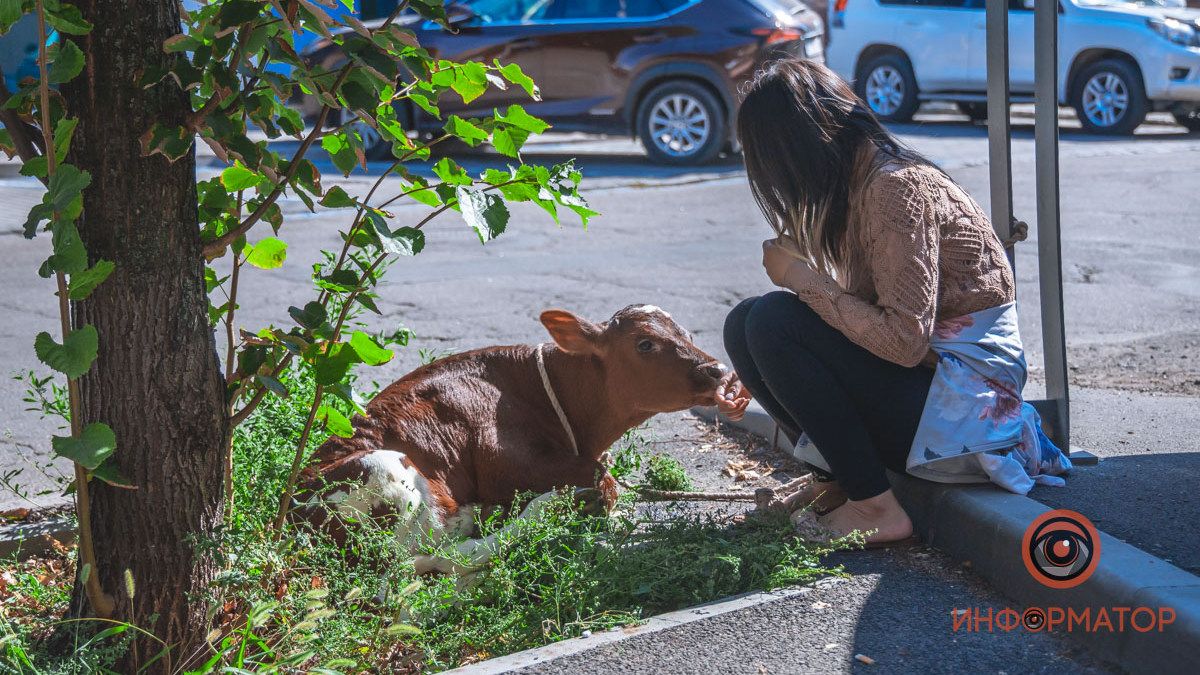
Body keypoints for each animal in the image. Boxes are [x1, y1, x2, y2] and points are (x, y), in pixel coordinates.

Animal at [295, 302, 724, 569]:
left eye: (686, 333)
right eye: (645, 343)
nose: (717, 370)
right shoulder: (505, 462)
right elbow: (605, 481)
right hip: (387, 469)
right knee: (427, 553)